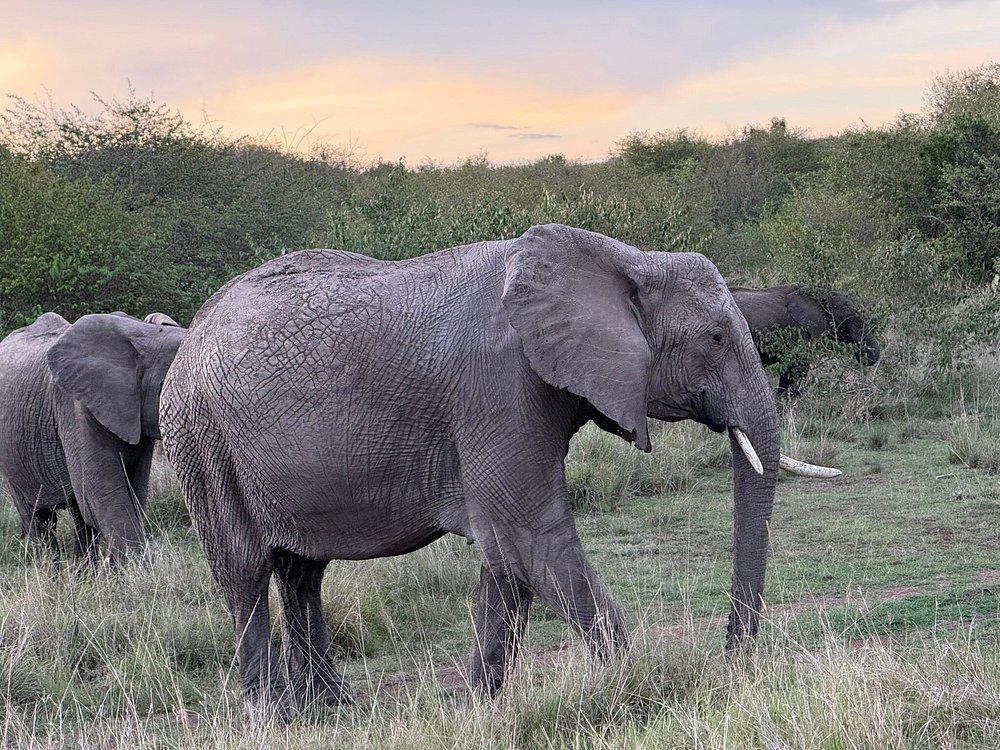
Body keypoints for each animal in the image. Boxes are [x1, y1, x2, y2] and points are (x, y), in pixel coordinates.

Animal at [0, 311, 186, 563]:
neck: (144, 335)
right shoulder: (75, 406)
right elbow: (104, 495)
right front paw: (139, 572)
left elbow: (134, 492)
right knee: (38, 517)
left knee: (79, 515)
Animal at [160, 223, 836, 719]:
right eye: (717, 338)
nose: (733, 659)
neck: (622, 258)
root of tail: (191, 332)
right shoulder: (499, 392)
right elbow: (534, 539)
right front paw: (637, 685)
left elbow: (505, 558)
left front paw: (476, 707)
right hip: (202, 440)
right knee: (245, 571)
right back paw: (274, 717)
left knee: (304, 572)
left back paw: (331, 708)